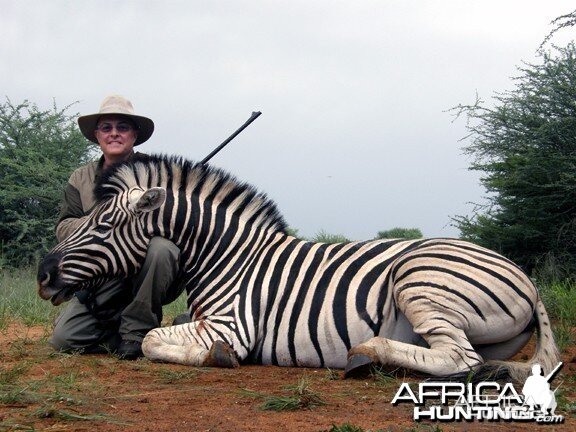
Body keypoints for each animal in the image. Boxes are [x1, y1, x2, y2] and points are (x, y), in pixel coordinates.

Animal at [37, 155, 560, 382]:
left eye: (103, 225)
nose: (43, 274)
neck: (229, 255)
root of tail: (528, 280)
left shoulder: (232, 324)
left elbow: (150, 340)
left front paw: (217, 357)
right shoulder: (204, 319)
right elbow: (160, 334)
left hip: (419, 281)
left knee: (459, 359)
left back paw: (366, 353)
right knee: (477, 359)